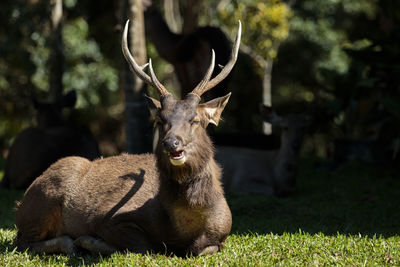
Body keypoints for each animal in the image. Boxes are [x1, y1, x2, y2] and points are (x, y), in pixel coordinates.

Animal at [15, 20, 241, 258]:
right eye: (160, 120)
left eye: (195, 119)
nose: (171, 143)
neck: (183, 228)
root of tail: (20, 204)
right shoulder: (110, 218)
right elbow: (144, 247)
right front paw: (88, 241)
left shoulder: (222, 233)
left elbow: (202, 248)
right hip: (44, 200)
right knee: (23, 242)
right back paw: (71, 244)